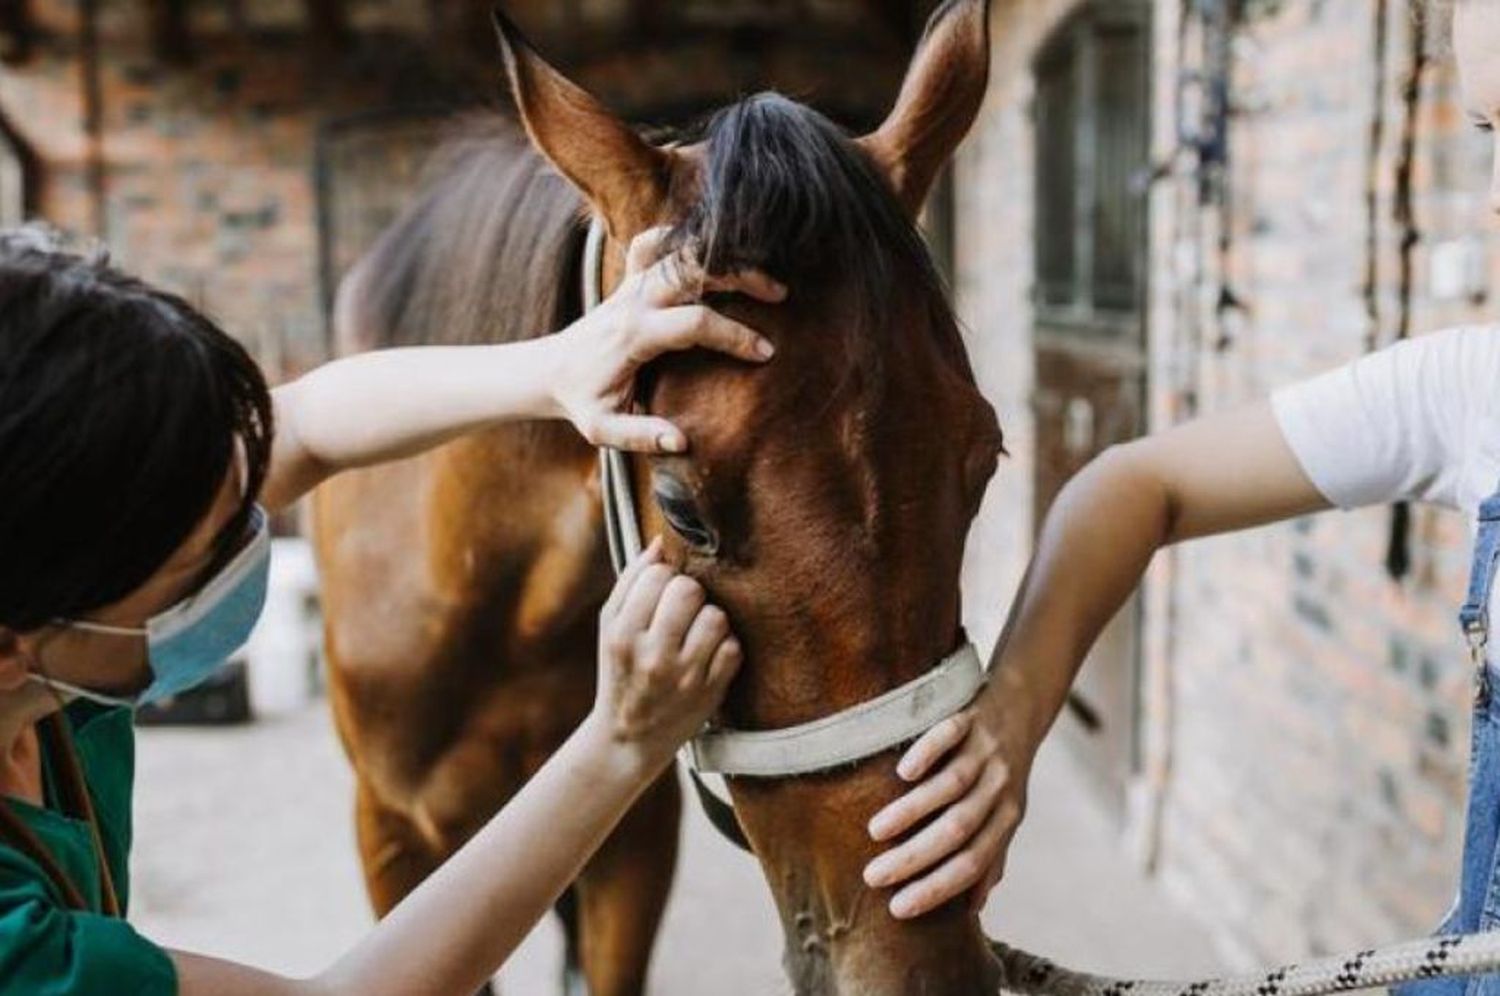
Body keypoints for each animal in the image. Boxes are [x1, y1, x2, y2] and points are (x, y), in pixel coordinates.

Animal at [309, 3, 1002, 990]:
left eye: (984, 460)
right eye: (682, 510)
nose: (921, 969)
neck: (482, 587)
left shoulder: (633, 833)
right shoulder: (394, 842)